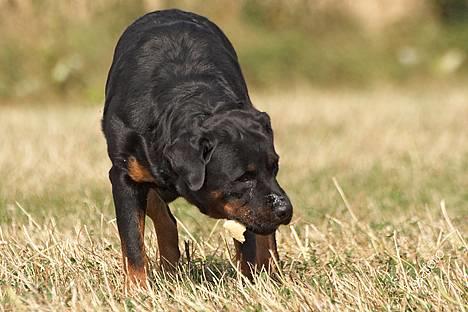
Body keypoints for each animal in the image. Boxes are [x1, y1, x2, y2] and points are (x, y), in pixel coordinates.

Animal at [102, 7, 292, 286]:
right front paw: (137, 289)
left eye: (275, 167)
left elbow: (248, 241)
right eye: (243, 177)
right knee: (161, 214)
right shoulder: (124, 175)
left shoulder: (247, 208)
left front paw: (249, 282)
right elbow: (133, 242)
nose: (284, 209)